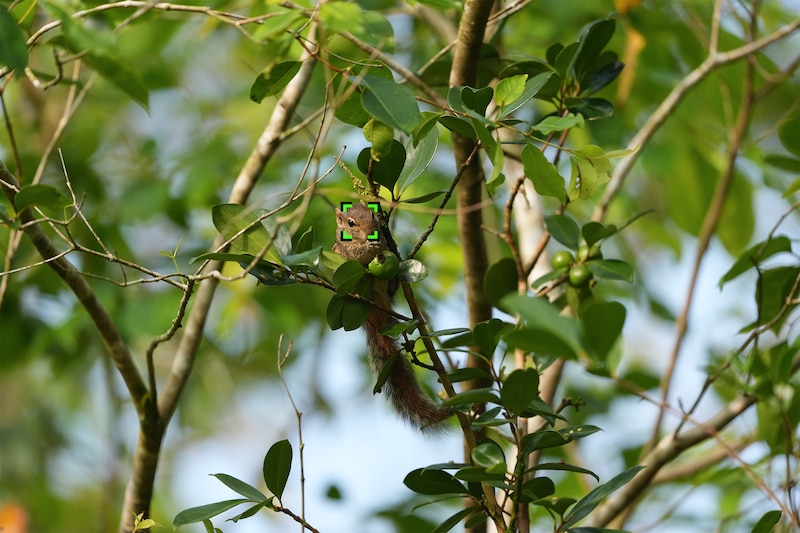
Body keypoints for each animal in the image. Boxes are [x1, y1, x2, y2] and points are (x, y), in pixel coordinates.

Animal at [332, 202, 453, 431]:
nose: (373, 233)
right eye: (351, 223)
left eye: (373, 215)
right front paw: (369, 247)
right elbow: (356, 254)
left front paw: (384, 242)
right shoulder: (344, 251)